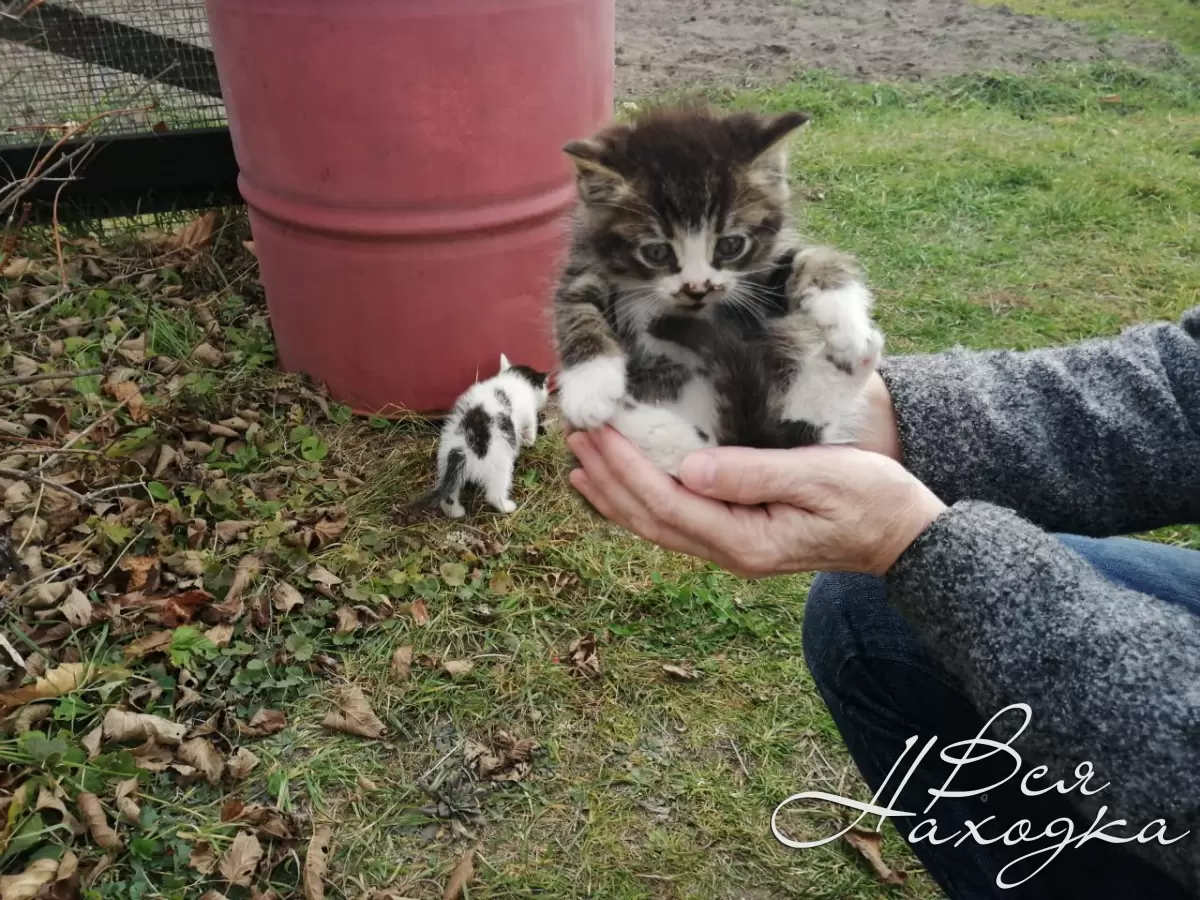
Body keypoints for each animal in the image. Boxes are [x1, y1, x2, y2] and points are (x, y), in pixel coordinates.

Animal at [549, 102, 883, 475]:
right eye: (657, 252)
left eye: (730, 245)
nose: (697, 288)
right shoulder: (584, 261)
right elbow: (577, 305)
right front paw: (590, 387)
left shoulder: (750, 285)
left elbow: (806, 260)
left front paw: (844, 316)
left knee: (790, 430)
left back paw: (853, 358)